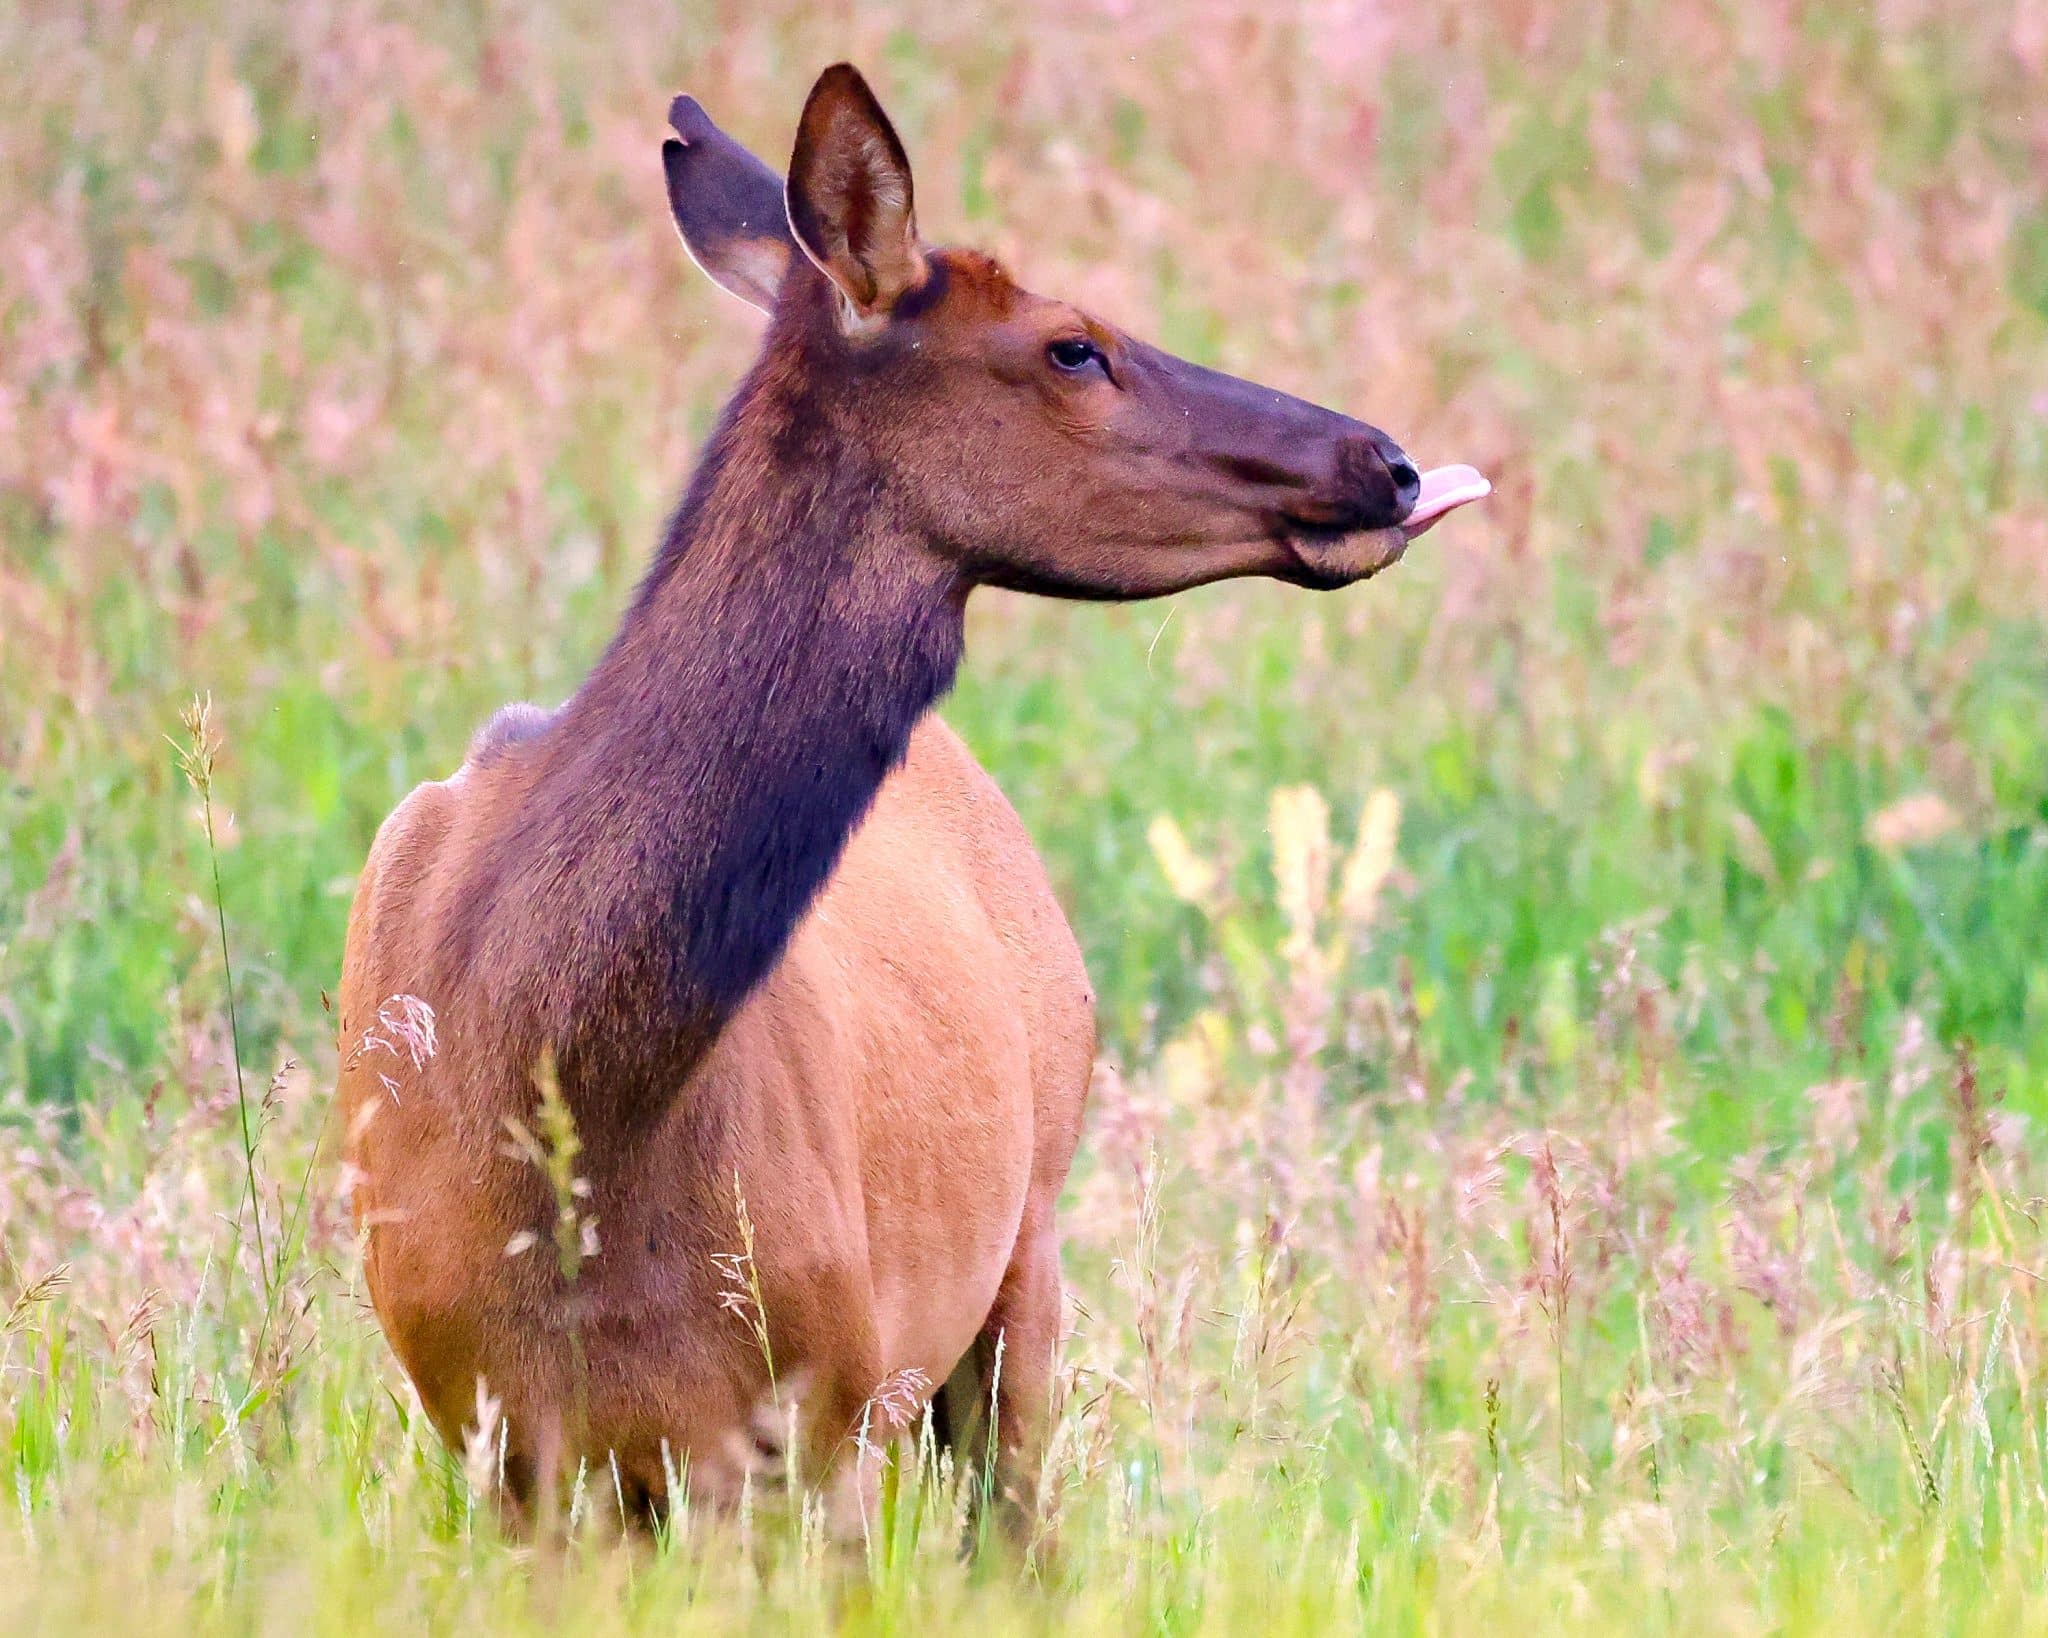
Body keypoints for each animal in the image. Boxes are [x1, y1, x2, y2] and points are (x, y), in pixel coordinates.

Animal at [335, 63, 1489, 1536]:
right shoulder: (496, 1433)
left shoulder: (819, 1405)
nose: (1383, 460)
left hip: (1027, 1229)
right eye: (1070, 346)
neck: (557, 1083)